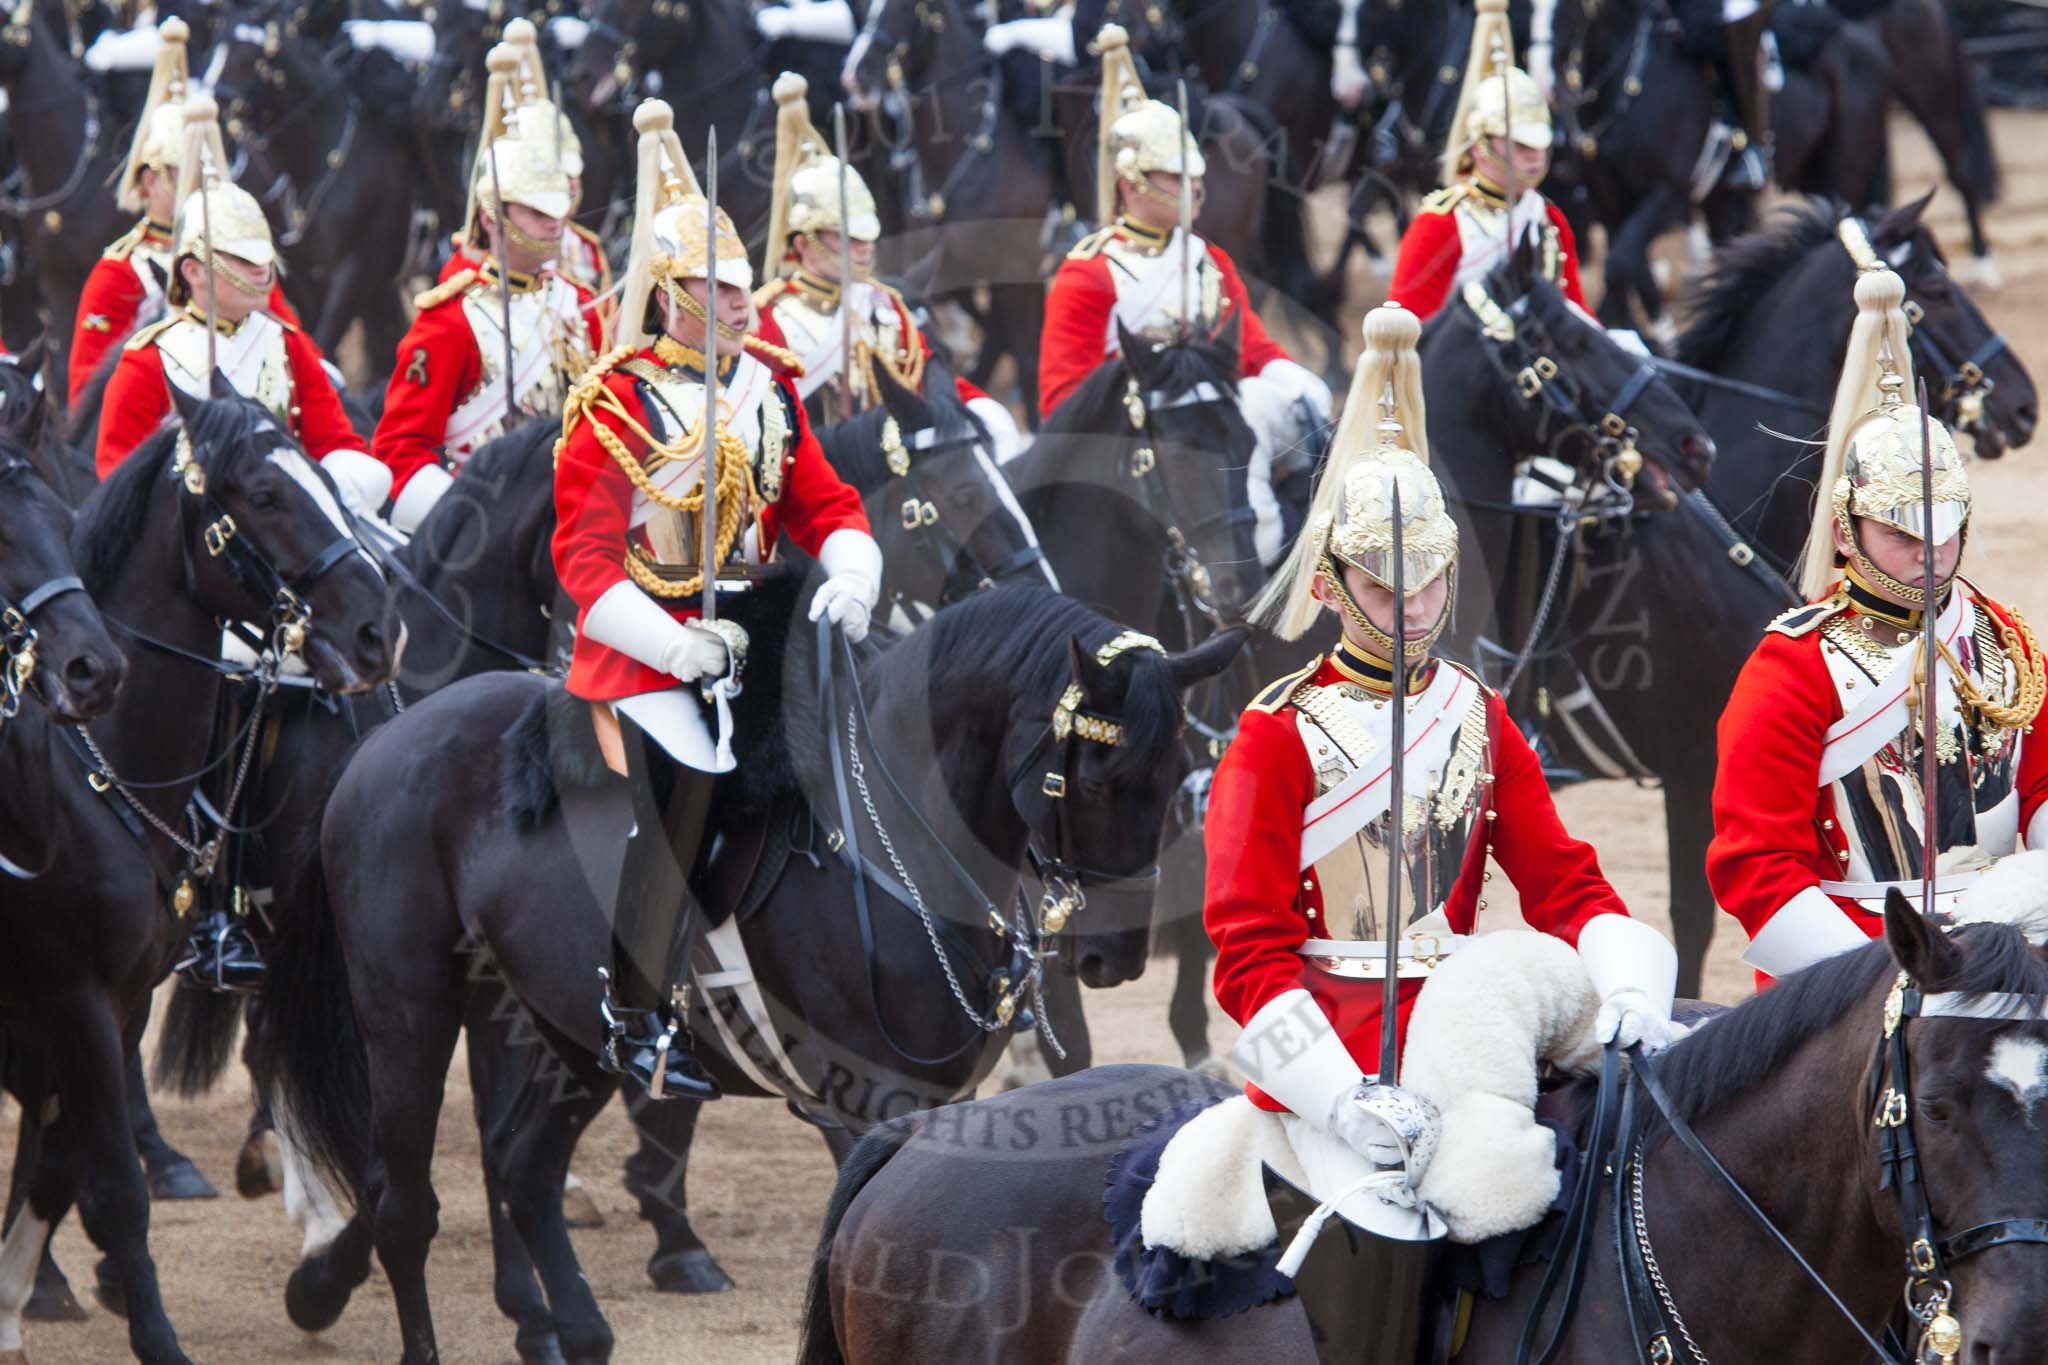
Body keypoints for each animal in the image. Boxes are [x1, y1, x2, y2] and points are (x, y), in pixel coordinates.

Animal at [0, 386, 395, 1365]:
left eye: (323, 479)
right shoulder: (72, 995)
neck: (99, 771)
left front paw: (16, 1296)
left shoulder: (118, 998)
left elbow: (59, 1163)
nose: (380, 629)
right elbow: (112, 1185)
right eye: (263, 495)